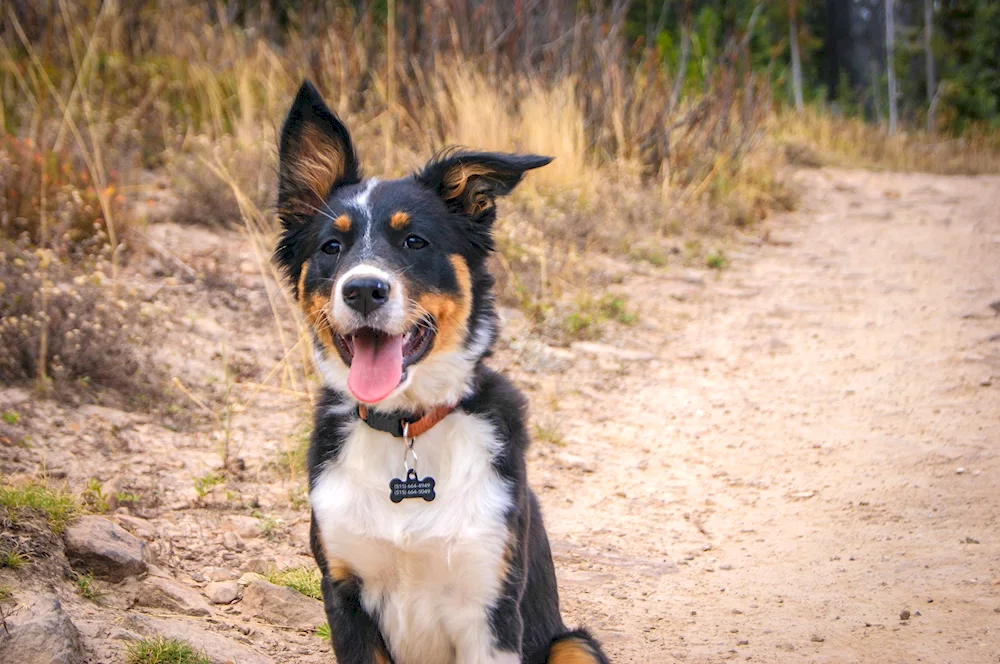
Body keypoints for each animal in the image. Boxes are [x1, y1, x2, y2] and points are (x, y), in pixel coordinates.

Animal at [274, 81, 612, 664]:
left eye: (415, 241)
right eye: (331, 247)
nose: (363, 290)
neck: (408, 428)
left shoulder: (490, 606)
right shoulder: (344, 595)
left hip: (574, 643)